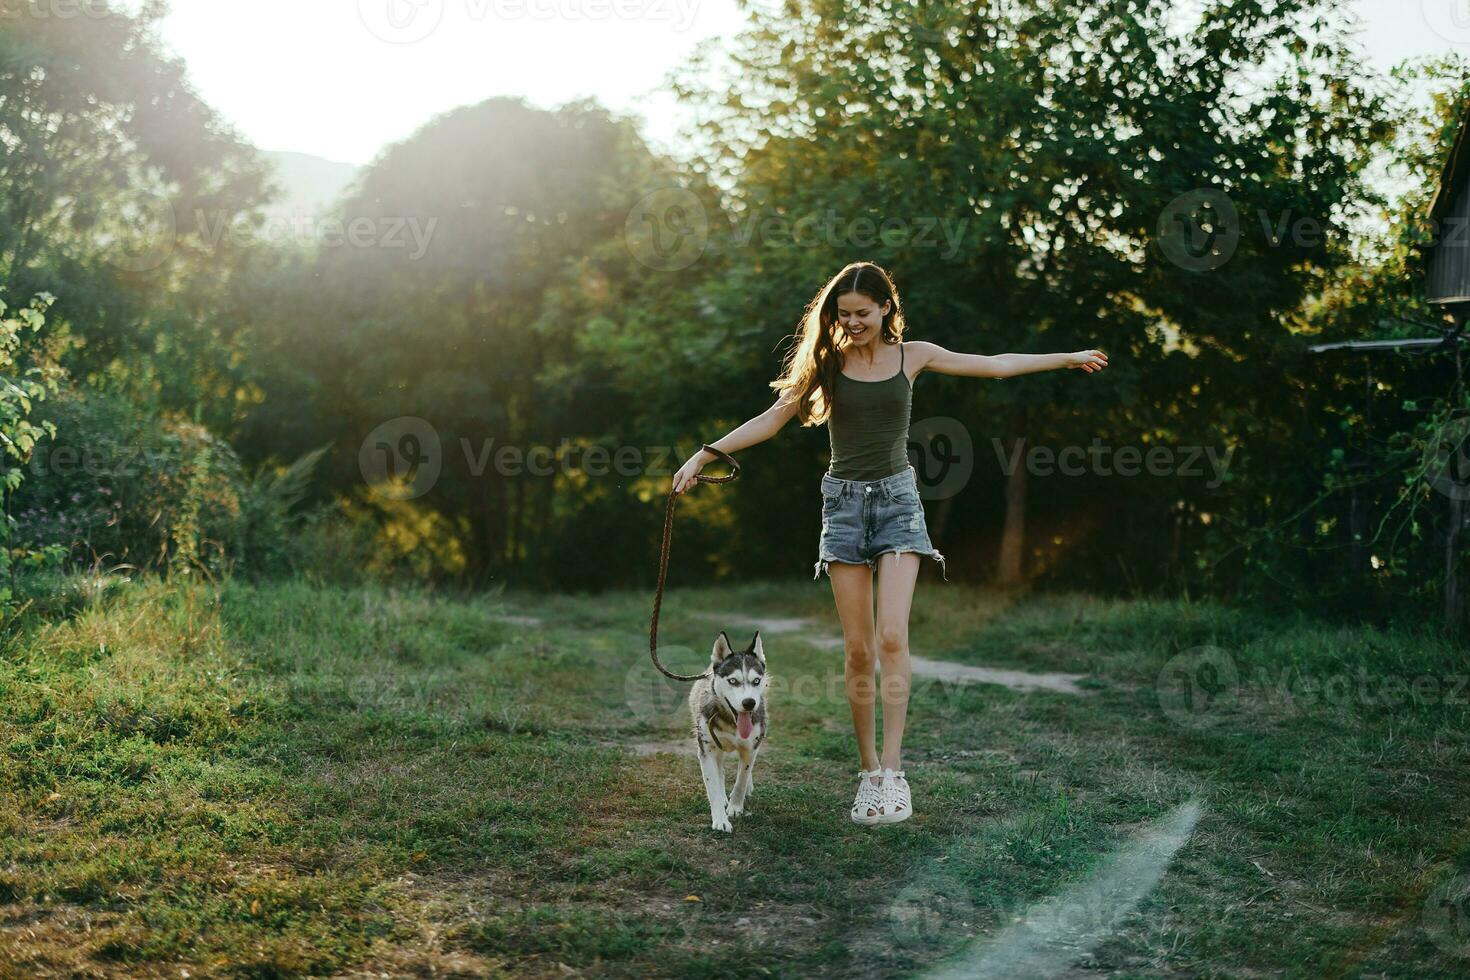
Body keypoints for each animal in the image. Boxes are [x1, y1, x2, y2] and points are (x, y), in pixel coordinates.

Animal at [687, 631, 770, 834]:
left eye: (756, 681)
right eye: (733, 681)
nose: (749, 703)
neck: (732, 721)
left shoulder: (751, 748)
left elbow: (742, 778)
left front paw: (735, 807)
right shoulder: (707, 750)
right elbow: (713, 786)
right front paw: (720, 819)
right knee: (720, 770)